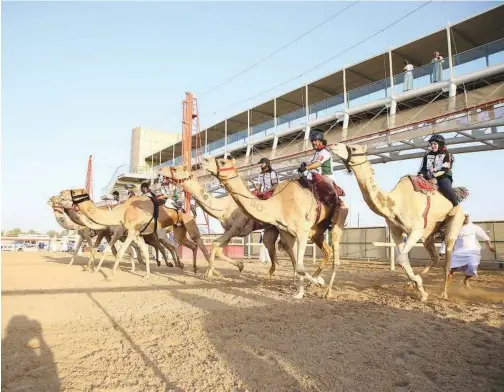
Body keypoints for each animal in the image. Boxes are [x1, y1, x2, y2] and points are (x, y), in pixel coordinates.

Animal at [58, 189, 211, 276]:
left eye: (72, 192)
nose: (58, 196)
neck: (120, 212)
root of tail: (189, 208)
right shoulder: (135, 233)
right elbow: (139, 251)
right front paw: (147, 274)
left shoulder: (127, 231)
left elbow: (118, 251)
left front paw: (110, 274)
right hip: (178, 228)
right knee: (187, 244)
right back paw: (191, 267)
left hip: (187, 222)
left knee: (197, 242)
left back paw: (205, 271)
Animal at [159, 165, 334, 282]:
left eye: (175, 168)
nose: (161, 170)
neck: (223, 207)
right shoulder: (229, 230)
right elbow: (219, 248)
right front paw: (239, 266)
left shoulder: (237, 228)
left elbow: (215, 245)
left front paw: (209, 274)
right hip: (274, 229)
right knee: (281, 246)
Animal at [200, 155, 346, 298]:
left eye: (223, 162)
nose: (204, 161)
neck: (280, 204)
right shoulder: (287, 232)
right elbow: (297, 264)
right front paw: (299, 292)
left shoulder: (302, 231)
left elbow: (299, 266)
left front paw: (319, 283)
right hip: (316, 232)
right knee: (327, 251)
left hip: (337, 220)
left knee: (335, 256)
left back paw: (327, 292)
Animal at [328, 143, 466, 300]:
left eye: (354, 148)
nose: (333, 145)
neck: (395, 203)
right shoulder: (396, 231)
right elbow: (403, 260)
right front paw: (420, 289)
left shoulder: (415, 230)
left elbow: (400, 259)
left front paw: (420, 288)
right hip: (428, 234)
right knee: (435, 256)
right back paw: (413, 283)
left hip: (454, 222)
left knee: (448, 256)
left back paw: (444, 292)